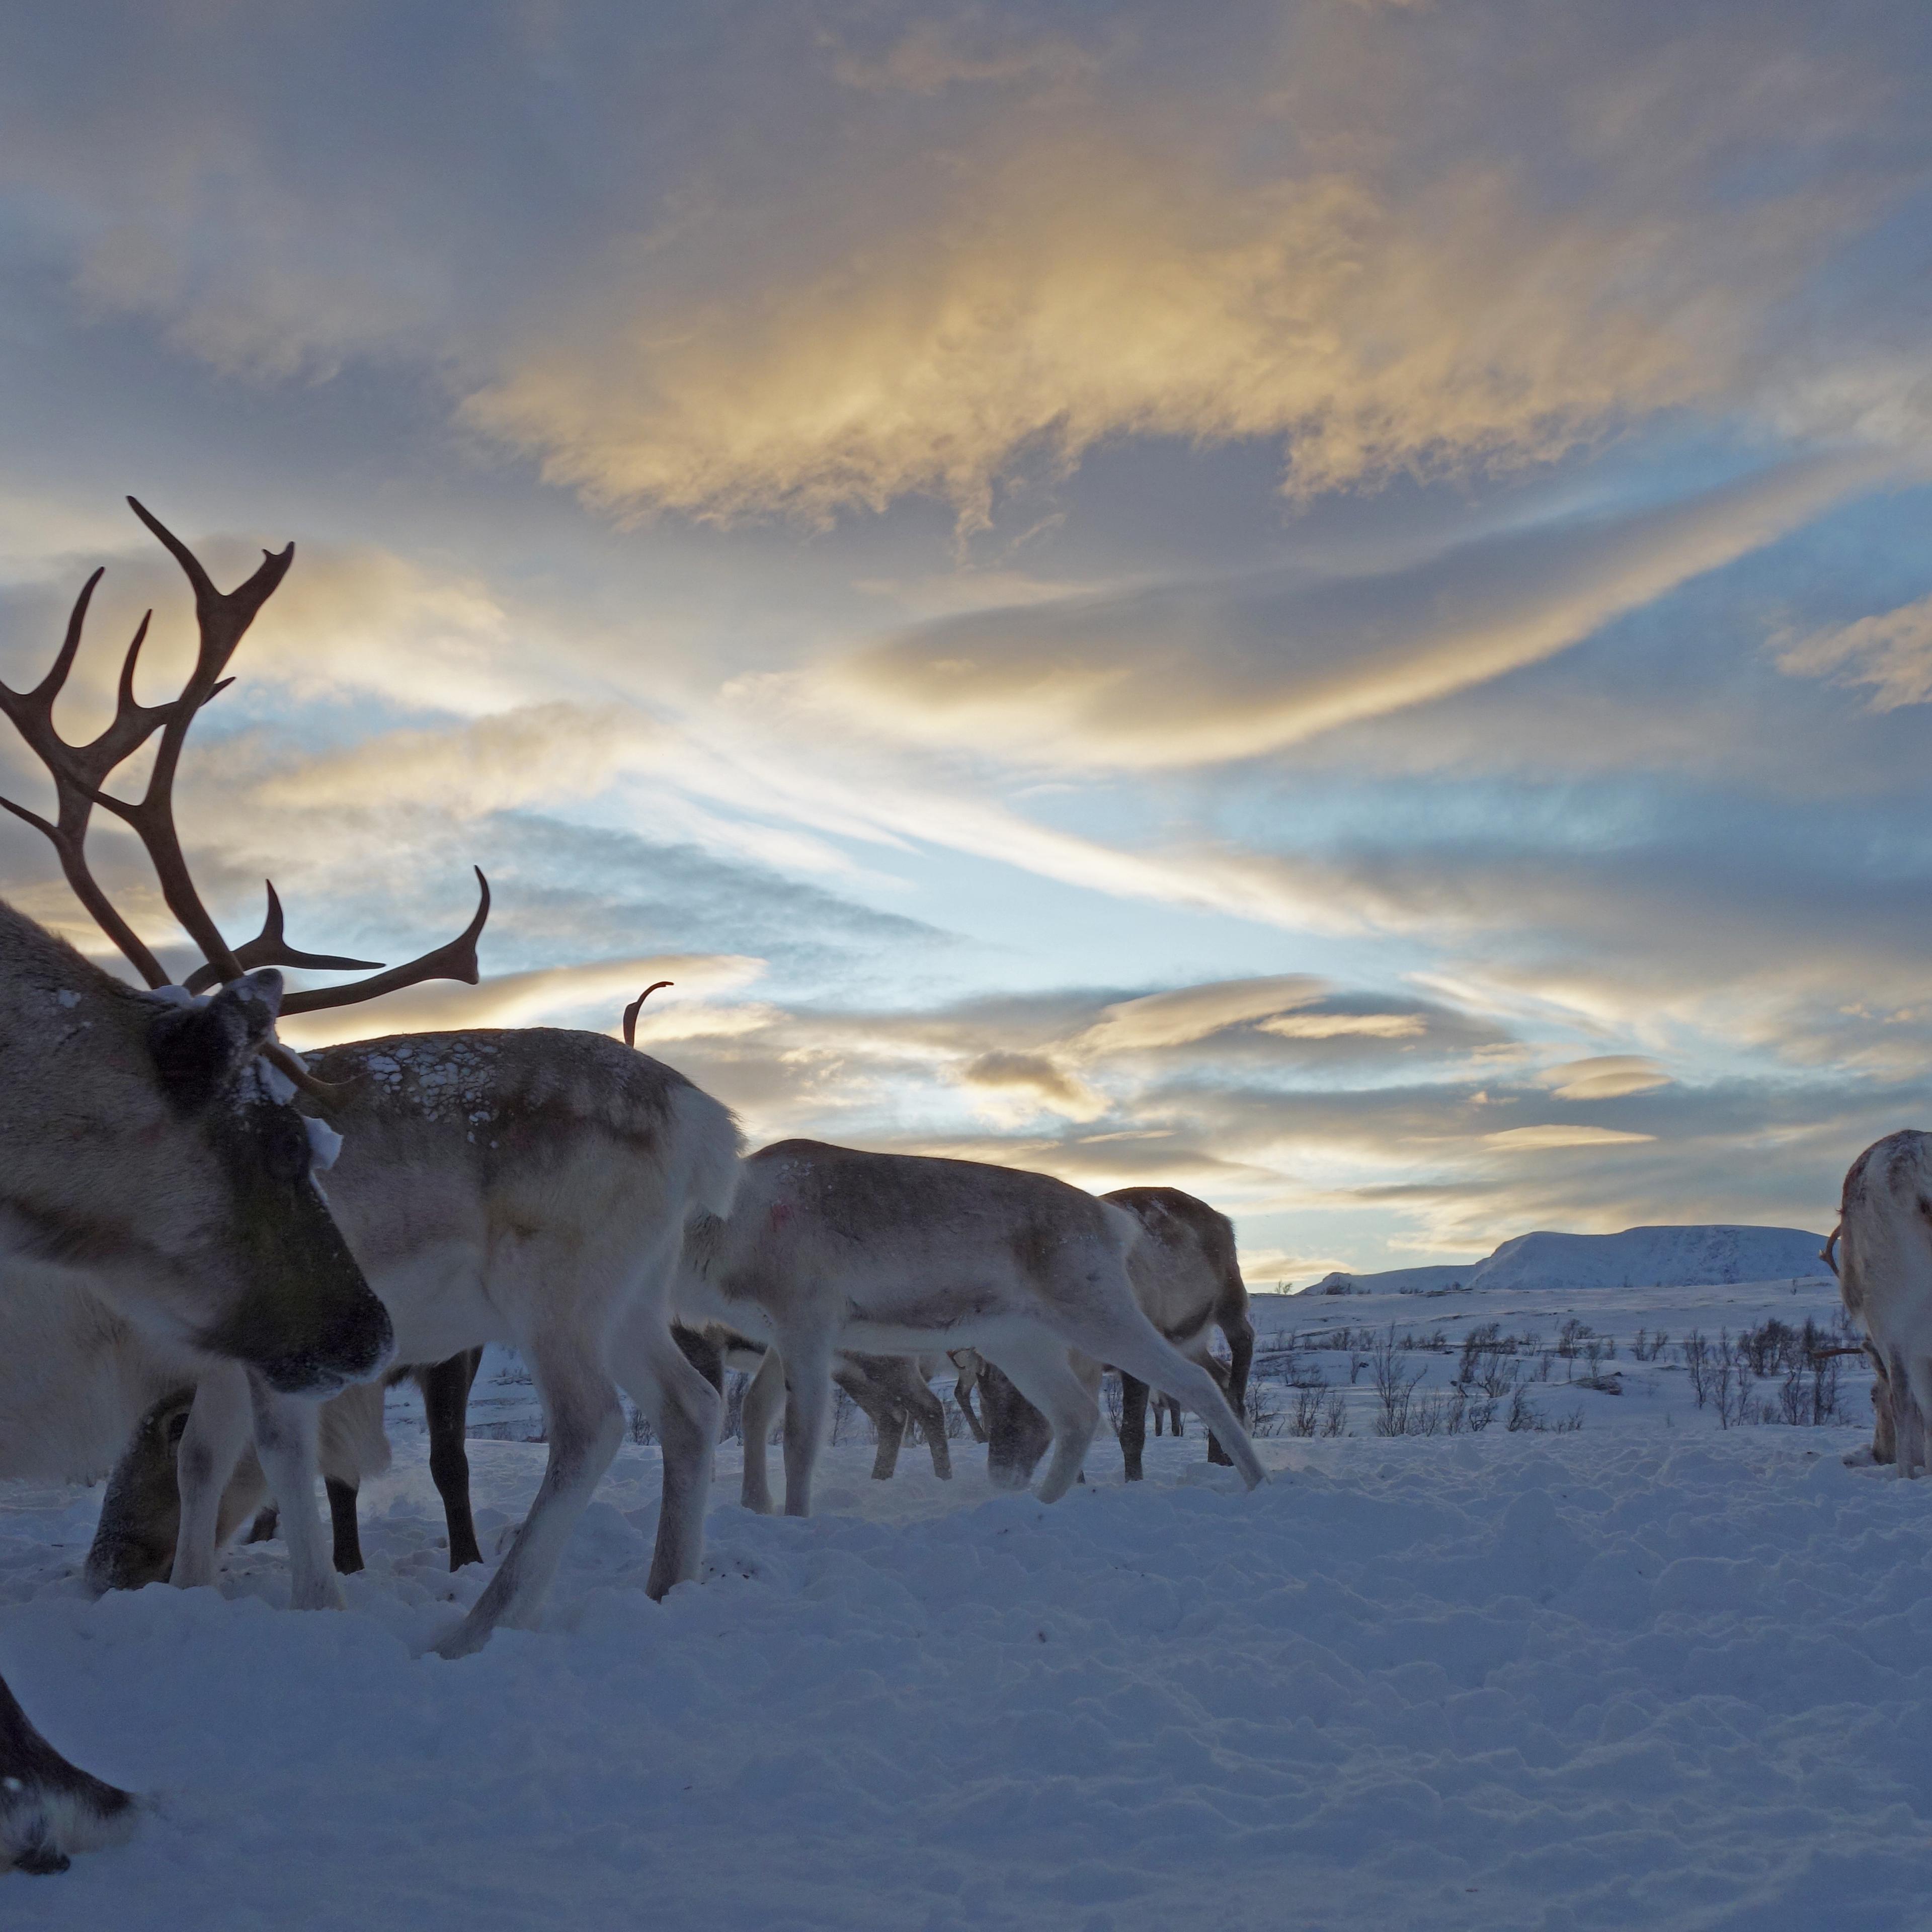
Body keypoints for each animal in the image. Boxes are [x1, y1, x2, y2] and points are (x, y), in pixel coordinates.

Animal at [671, 1139, 1265, 1516]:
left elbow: (798, 1437)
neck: (726, 1229)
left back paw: (1259, 1480)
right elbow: (757, 1412)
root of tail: (1112, 1220)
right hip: (1020, 1344)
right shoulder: (780, 1335)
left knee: (1197, 1383)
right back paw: (1040, 1505)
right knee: (1077, 1414)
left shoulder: (807, 1323)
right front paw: (756, 1506)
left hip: (1100, 1314)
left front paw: (793, 1518)